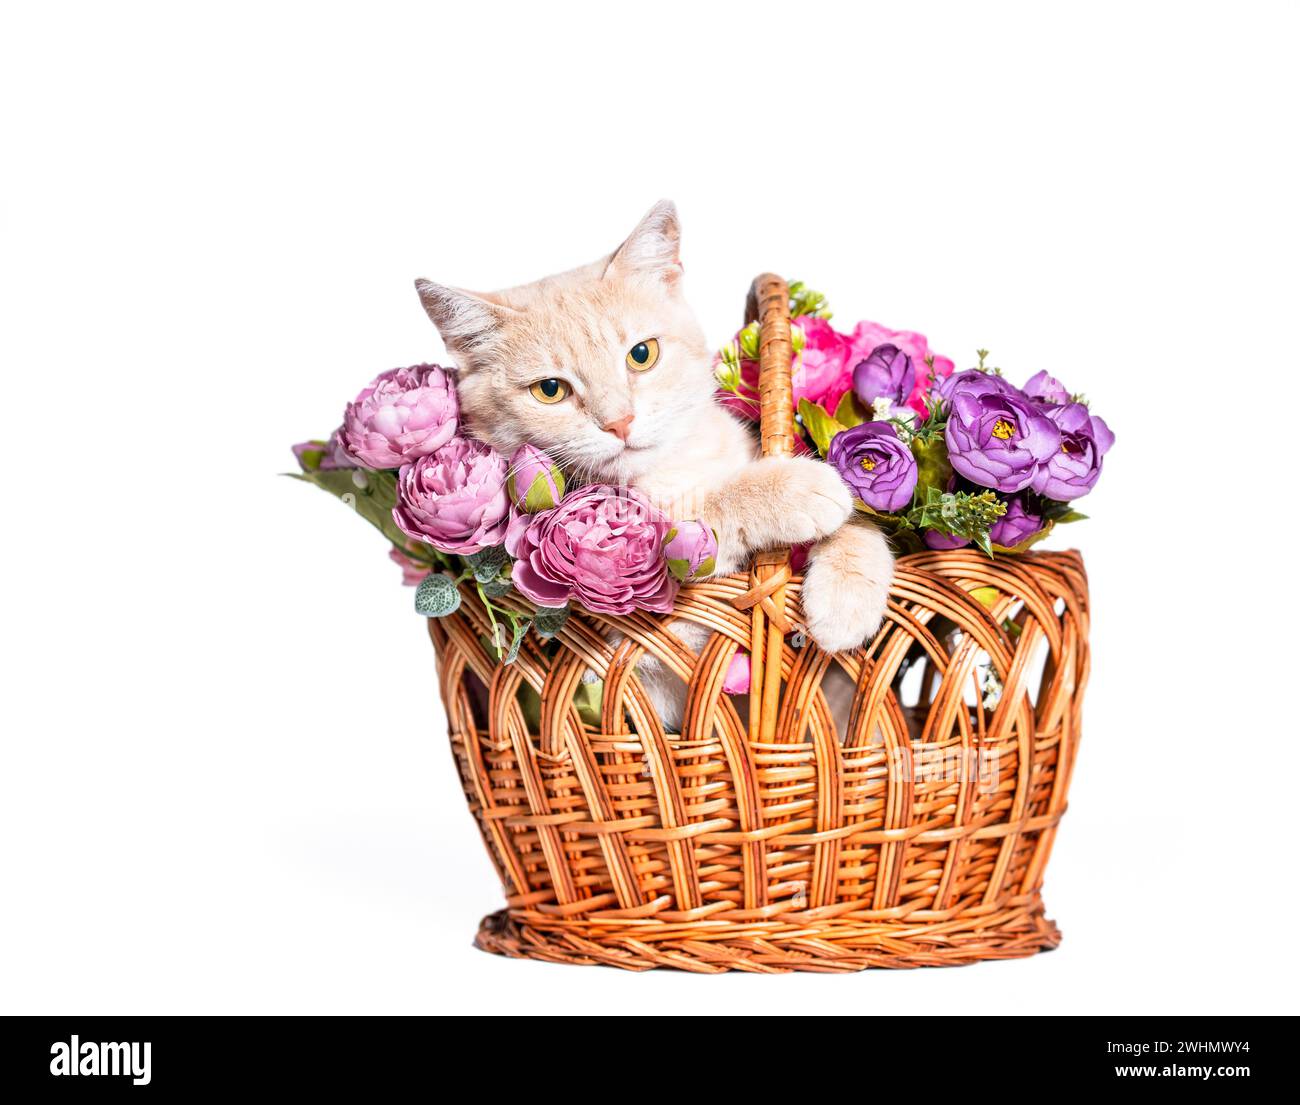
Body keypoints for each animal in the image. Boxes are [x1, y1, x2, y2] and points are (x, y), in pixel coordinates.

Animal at [416, 202, 894, 728]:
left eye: (642, 355)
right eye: (550, 390)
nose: (619, 422)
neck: (675, 467)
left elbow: (858, 526)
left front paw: (847, 593)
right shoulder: (652, 637)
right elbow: (708, 511)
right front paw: (794, 486)